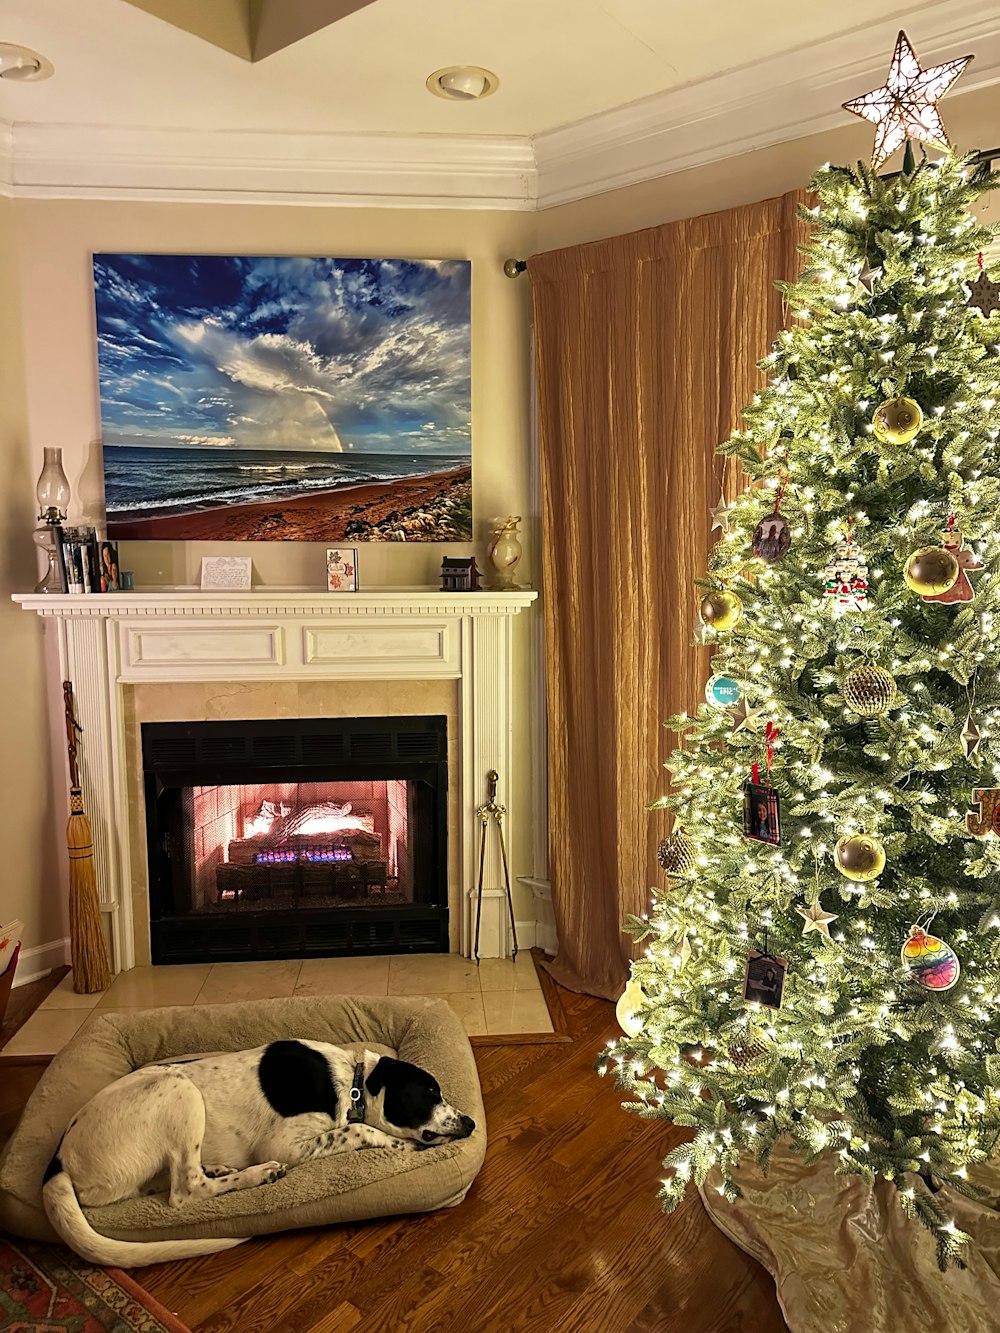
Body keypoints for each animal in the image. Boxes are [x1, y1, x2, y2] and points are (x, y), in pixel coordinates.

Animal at [41, 1034, 474, 1263]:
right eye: (430, 1093)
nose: (470, 1123)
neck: (352, 1083)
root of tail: (59, 1161)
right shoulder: (284, 1142)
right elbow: (356, 1131)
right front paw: (398, 1142)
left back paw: (222, 1169)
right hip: (178, 1090)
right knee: (186, 1190)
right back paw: (259, 1174)